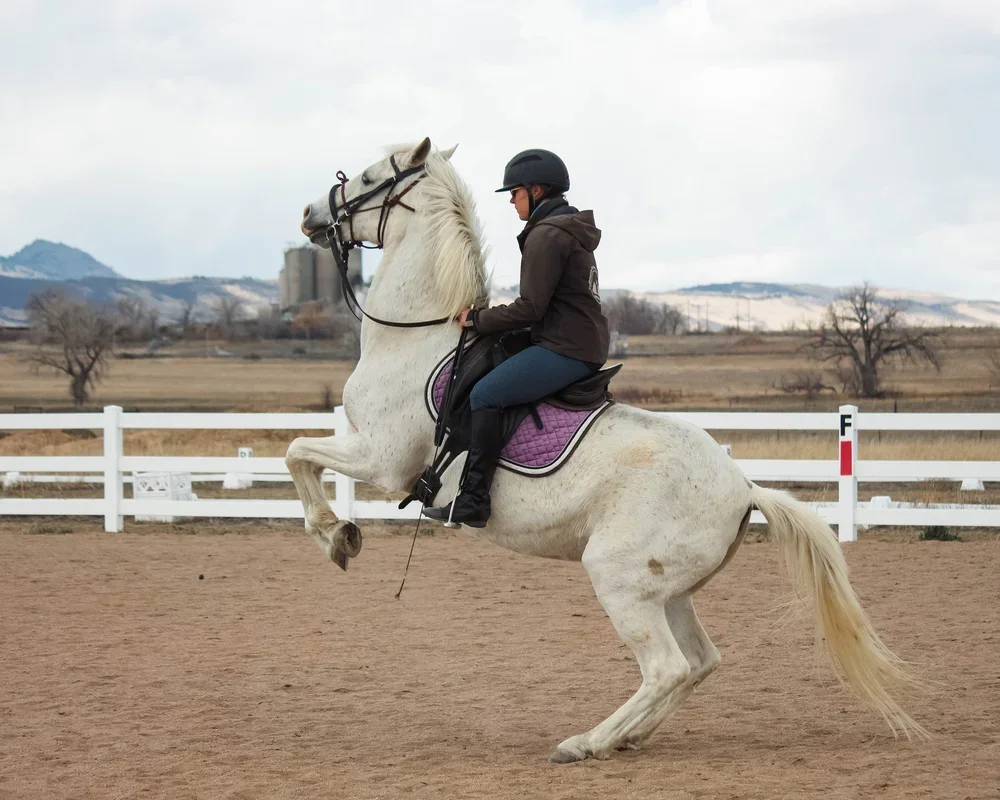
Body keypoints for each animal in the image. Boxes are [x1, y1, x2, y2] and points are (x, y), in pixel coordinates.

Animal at [286, 137, 925, 763]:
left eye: (370, 176)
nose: (310, 214)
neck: (414, 338)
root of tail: (744, 487)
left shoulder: (383, 458)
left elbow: (297, 451)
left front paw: (337, 536)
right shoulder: (373, 453)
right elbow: (300, 453)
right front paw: (338, 534)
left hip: (620, 580)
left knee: (667, 668)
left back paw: (586, 742)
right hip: (669, 592)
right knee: (700, 662)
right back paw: (628, 737)